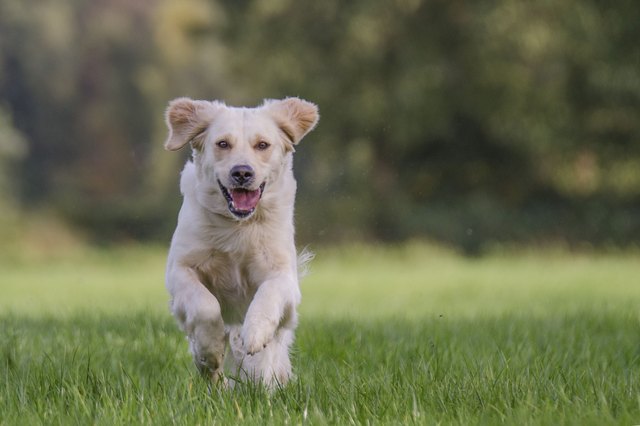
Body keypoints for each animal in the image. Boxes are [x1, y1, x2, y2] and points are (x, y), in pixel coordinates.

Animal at [162, 97, 318, 390]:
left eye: (262, 145)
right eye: (222, 143)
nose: (242, 173)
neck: (237, 226)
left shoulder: (284, 276)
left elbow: (267, 295)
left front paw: (255, 334)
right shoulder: (180, 269)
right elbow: (205, 305)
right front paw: (211, 349)